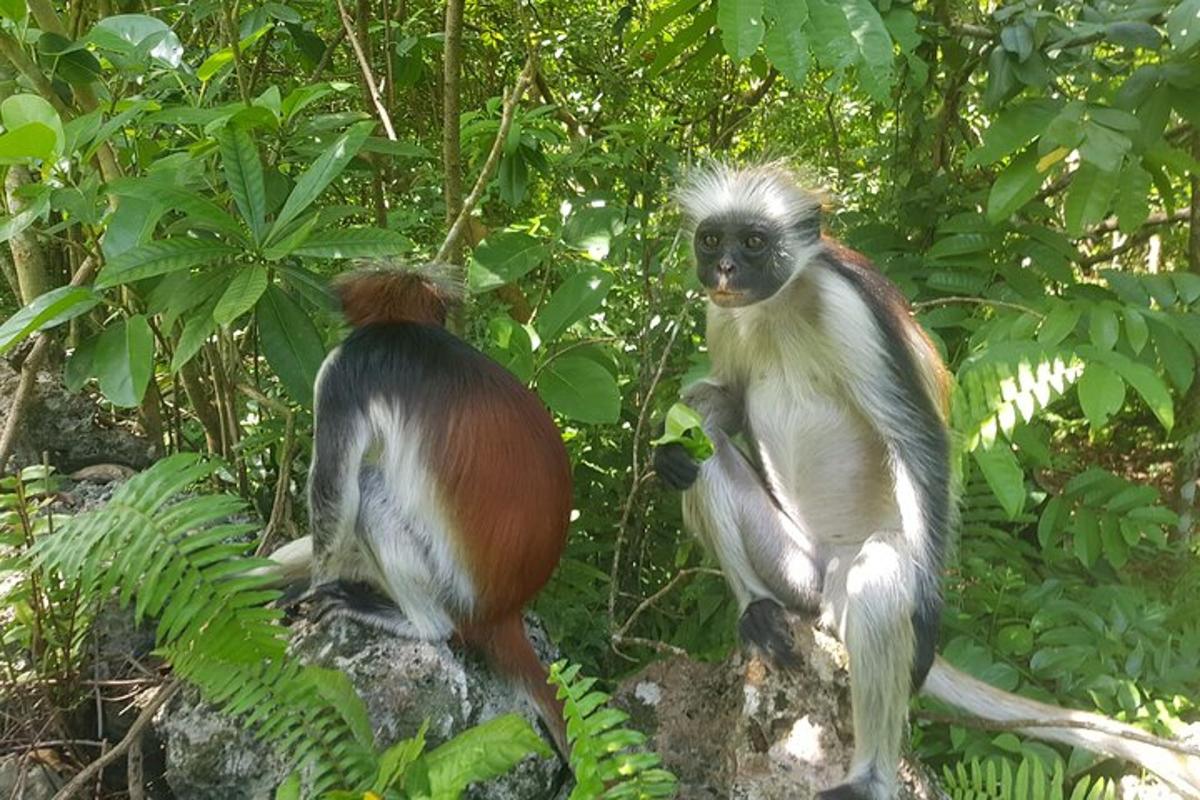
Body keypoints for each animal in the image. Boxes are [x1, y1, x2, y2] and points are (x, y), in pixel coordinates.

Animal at [272, 267, 571, 758]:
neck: (402, 329)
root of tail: (502, 610)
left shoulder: (342, 372)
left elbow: (335, 497)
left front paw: (310, 593)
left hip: (449, 586)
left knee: (368, 490)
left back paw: (419, 625)